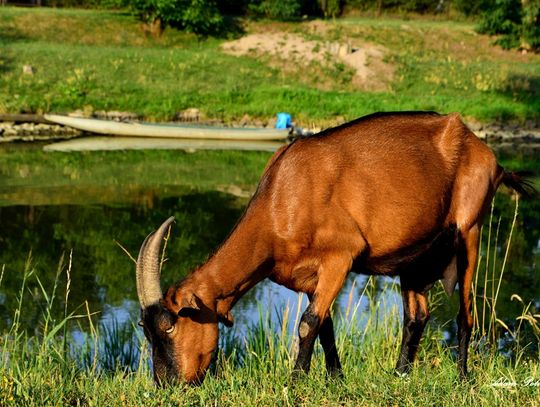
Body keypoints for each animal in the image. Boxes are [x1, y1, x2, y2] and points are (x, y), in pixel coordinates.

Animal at [135, 111, 532, 386]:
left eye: (170, 326)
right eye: (145, 329)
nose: (167, 384)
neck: (282, 196)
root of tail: (488, 154)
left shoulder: (340, 256)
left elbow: (307, 324)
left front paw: (295, 383)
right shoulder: (310, 276)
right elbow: (324, 325)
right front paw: (335, 379)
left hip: (469, 230)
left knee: (466, 314)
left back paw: (463, 378)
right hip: (414, 258)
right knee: (416, 315)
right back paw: (400, 374)